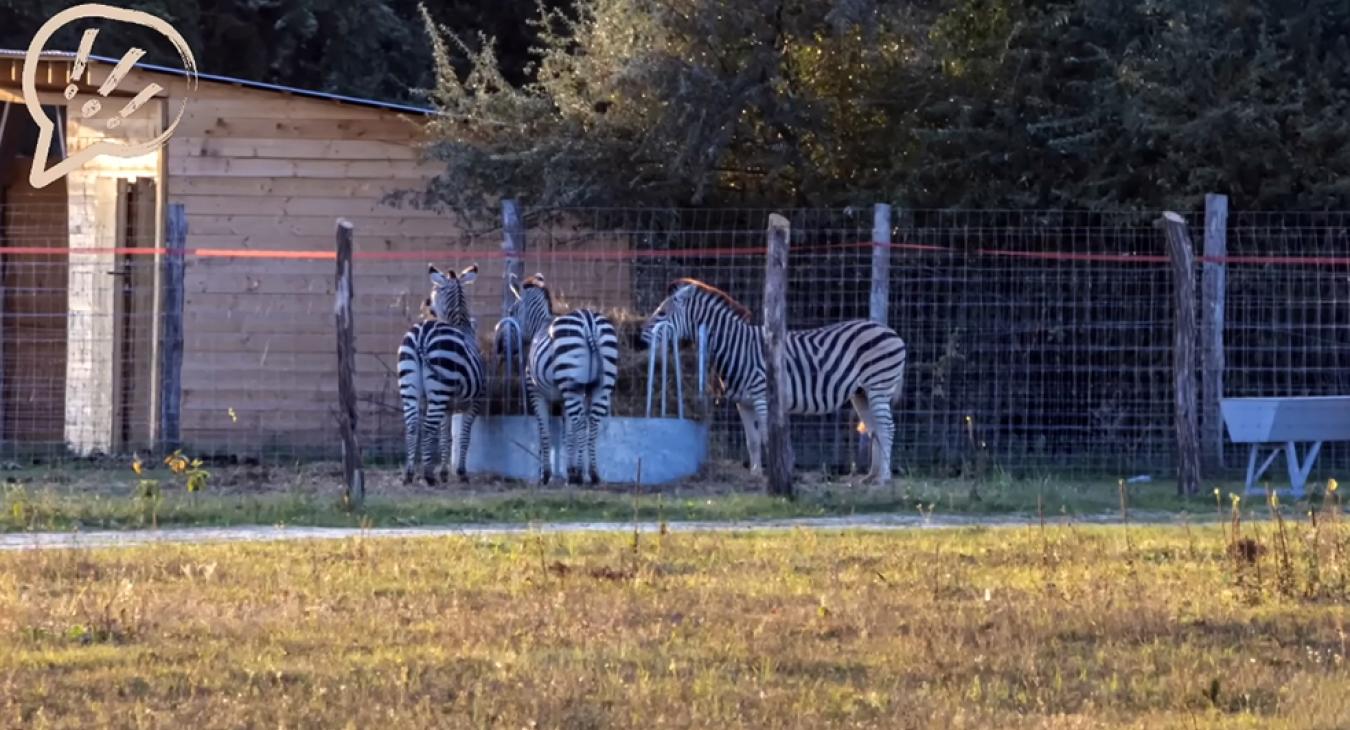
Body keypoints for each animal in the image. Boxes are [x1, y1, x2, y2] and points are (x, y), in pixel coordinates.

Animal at [394, 261, 486, 483]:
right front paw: (460, 472)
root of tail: (422, 335)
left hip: (411, 386)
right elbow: (464, 436)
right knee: (428, 427)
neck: (460, 325)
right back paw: (428, 475)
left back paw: (409, 473)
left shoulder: (449, 404)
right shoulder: (475, 400)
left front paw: (444, 472)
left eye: (434, 292)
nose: (425, 304)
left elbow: (446, 436)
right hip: (438, 389)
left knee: (413, 425)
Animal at [507, 272, 621, 483]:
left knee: (581, 423)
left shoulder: (536, 392)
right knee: (592, 422)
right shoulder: (567, 396)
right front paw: (570, 469)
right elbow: (568, 434)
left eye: (511, 312)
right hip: (600, 385)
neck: (540, 324)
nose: (507, 347)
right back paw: (593, 474)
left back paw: (579, 475)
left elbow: (544, 432)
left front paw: (546, 475)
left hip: (571, 382)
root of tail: (589, 321)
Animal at [639, 279, 907, 483]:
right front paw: (755, 475)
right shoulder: (743, 403)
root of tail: (891, 332)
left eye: (662, 313)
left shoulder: (761, 396)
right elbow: (752, 441)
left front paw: (773, 475)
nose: (637, 337)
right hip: (861, 393)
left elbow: (768, 438)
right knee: (875, 429)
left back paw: (884, 478)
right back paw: (870, 477)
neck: (737, 348)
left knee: (887, 428)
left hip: (878, 386)